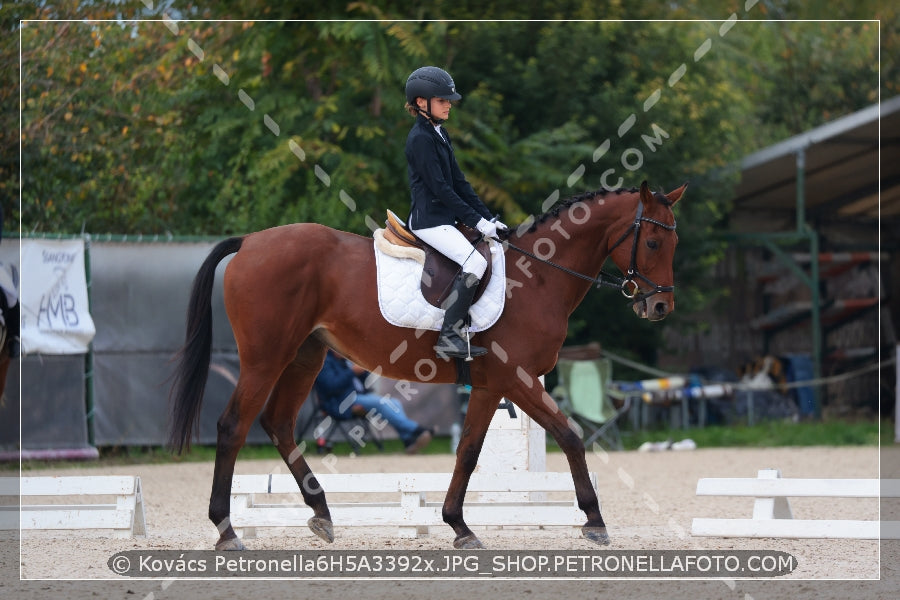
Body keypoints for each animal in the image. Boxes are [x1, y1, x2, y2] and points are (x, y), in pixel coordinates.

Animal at [169, 180, 684, 552]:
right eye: (654, 242)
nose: (660, 308)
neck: (538, 278)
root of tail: (250, 243)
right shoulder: (516, 379)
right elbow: (571, 435)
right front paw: (594, 521)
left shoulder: (490, 386)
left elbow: (469, 452)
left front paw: (459, 525)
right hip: (266, 357)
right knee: (233, 425)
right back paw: (227, 530)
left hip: (304, 356)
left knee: (278, 423)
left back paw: (322, 514)